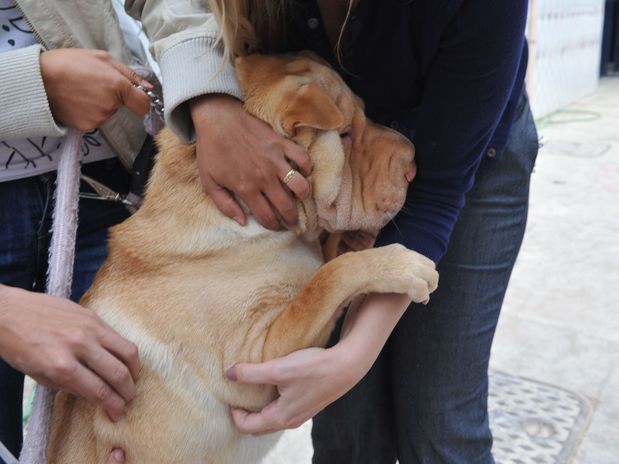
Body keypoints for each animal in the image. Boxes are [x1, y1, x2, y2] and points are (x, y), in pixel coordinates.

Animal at [46, 53, 438, 460]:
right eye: (345, 135)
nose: (413, 163)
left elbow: (327, 265)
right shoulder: (255, 359)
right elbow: (327, 280)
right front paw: (402, 265)